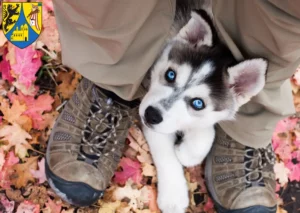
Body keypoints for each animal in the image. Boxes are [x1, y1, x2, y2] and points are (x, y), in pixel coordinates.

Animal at [138, 2, 268, 213]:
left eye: (198, 103)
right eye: (170, 74)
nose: (151, 115)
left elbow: (205, 134)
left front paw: (186, 152)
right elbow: (165, 153)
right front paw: (173, 196)